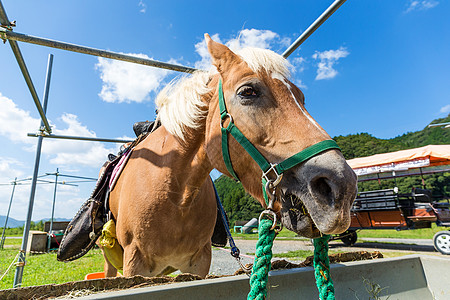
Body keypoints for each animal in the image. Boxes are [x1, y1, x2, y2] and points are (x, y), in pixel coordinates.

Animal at [103, 35, 356, 278]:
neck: (175, 194)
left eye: (301, 98)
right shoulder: (134, 263)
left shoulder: (199, 263)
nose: (342, 187)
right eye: (248, 91)